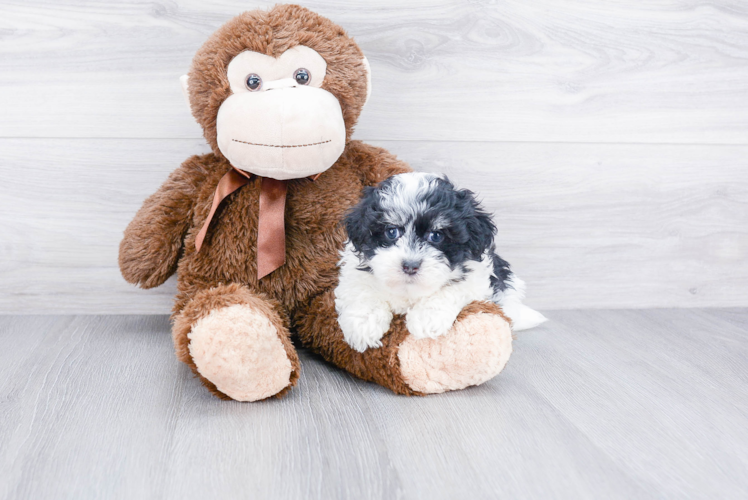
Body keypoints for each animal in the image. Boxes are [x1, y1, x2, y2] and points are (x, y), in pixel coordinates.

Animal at [336, 174, 548, 354]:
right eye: (391, 232)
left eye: (436, 235)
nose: (410, 266)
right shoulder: (354, 273)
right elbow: (362, 290)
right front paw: (363, 325)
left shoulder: (476, 277)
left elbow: (451, 289)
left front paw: (426, 318)